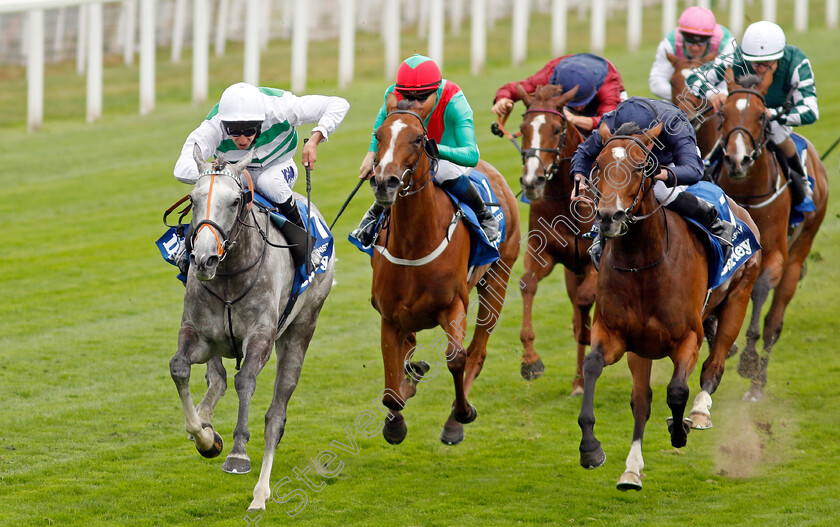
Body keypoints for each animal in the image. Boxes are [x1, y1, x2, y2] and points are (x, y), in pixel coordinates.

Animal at [170, 145, 334, 512]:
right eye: (193, 198)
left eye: (235, 201)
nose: (203, 259)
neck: (230, 276)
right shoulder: (199, 335)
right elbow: (180, 367)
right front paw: (205, 438)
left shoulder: (261, 336)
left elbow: (246, 380)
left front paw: (237, 453)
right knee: (217, 378)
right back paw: (205, 418)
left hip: (302, 328)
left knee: (275, 415)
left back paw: (261, 493)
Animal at [368, 92, 520, 446]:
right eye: (379, 135)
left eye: (418, 139)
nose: (384, 182)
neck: (413, 244)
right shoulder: (388, 315)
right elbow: (390, 387)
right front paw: (394, 424)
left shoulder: (453, 305)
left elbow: (456, 357)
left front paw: (461, 413)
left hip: (498, 276)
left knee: (477, 350)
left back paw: (454, 420)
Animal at [512, 83, 596, 396]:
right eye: (523, 128)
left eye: (557, 129)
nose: (531, 181)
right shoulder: (545, 253)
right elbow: (528, 284)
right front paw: (529, 361)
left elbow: (586, 302)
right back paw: (579, 381)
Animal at [576, 122, 760, 490]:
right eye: (598, 166)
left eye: (640, 166)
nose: (609, 217)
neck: (643, 264)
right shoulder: (617, 335)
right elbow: (595, 368)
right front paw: (591, 448)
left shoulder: (688, 336)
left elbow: (677, 390)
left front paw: (679, 430)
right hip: (643, 347)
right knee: (642, 400)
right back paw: (631, 470)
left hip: (738, 298)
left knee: (713, 367)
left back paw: (700, 412)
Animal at [716, 74, 828, 402]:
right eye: (722, 113)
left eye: (761, 116)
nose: (737, 161)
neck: (747, 194)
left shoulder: (775, 254)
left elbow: (760, 290)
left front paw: (748, 359)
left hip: (799, 251)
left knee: (773, 324)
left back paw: (757, 383)